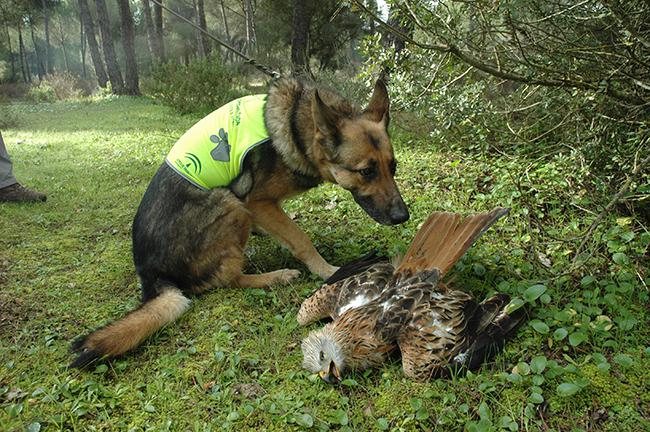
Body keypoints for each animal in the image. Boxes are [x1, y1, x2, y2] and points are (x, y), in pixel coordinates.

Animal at [69, 78, 404, 368]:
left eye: (393, 167)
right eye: (366, 171)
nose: (404, 216)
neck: (297, 125)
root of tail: (149, 272)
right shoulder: (257, 202)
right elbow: (300, 239)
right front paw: (328, 271)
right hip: (230, 203)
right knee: (226, 280)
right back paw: (275, 276)